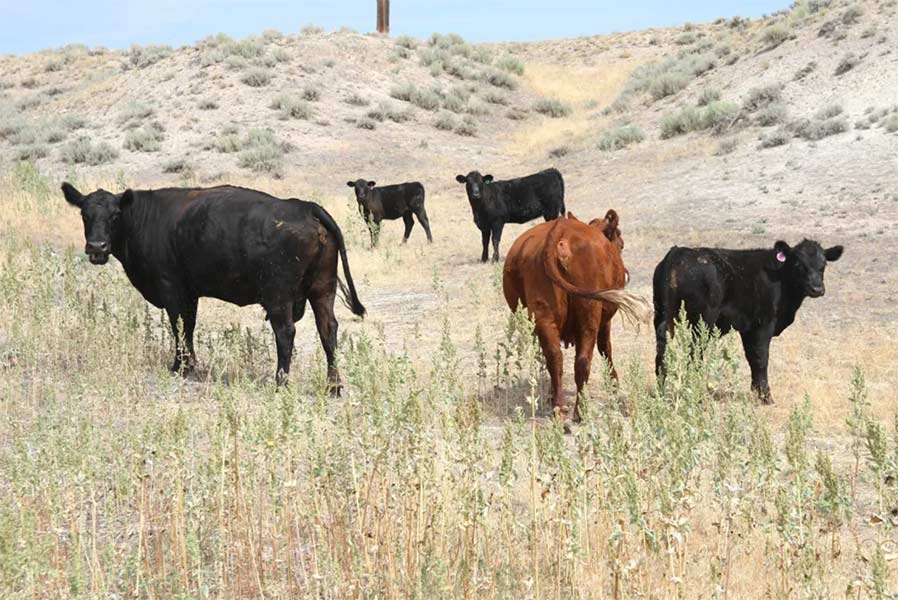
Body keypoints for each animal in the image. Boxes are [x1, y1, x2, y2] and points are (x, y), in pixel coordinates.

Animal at [61, 182, 366, 390]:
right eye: (85, 216)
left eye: (115, 216)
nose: (97, 247)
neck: (145, 220)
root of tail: (305, 206)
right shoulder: (190, 293)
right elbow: (189, 326)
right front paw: (191, 365)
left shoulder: (171, 289)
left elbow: (179, 327)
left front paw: (180, 366)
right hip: (323, 287)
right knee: (328, 329)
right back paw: (334, 386)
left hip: (278, 295)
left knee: (286, 333)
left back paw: (280, 381)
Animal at [503, 211, 652, 423]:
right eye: (621, 245)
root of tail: (560, 230)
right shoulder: (605, 321)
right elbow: (605, 348)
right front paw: (614, 385)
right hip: (589, 312)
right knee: (582, 360)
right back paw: (580, 411)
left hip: (544, 314)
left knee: (554, 357)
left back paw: (558, 406)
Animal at [653, 239, 843, 404]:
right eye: (798, 264)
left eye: (823, 265)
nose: (817, 289)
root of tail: (678, 252)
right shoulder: (764, 324)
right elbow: (761, 358)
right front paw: (766, 397)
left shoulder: (748, 328)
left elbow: (751, 357)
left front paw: (756, 391)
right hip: (702, 322)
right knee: (695, 354)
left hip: (661, 316)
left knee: (662, 352)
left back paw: (661, 391)